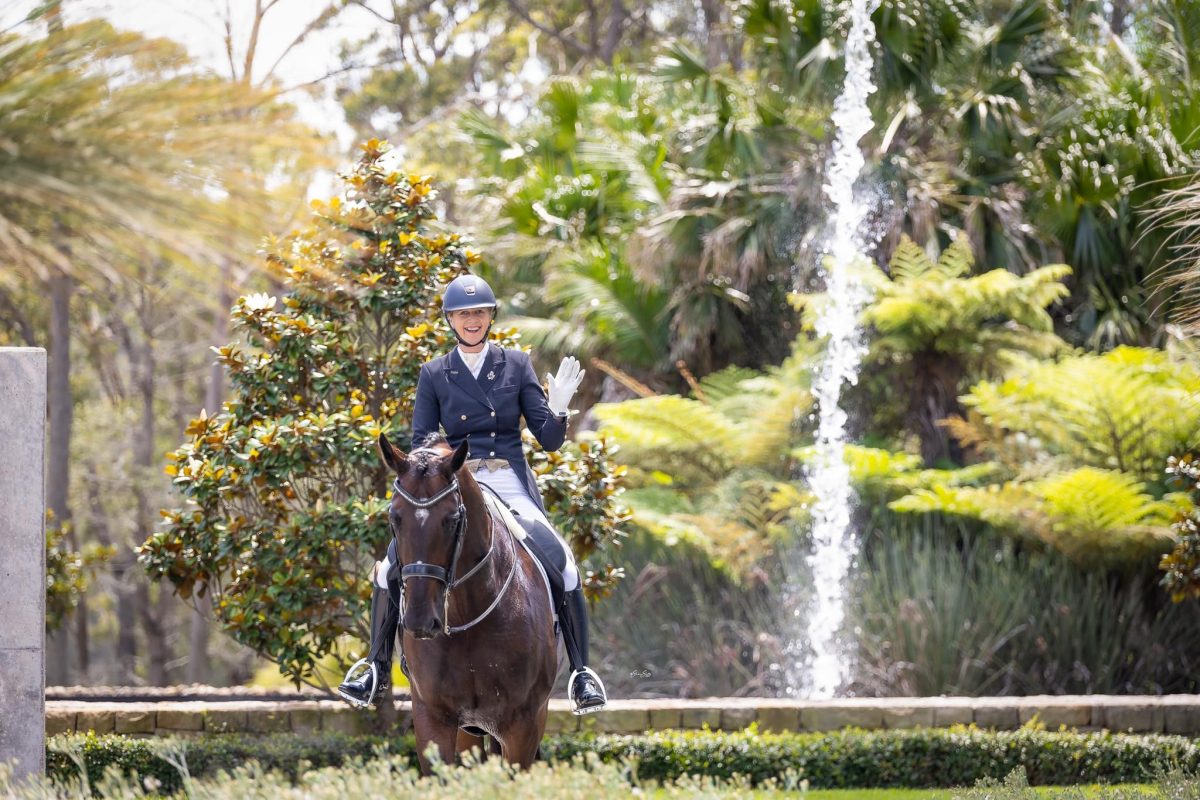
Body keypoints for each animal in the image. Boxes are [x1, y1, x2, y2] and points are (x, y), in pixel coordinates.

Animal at [376, 434, 559, 772]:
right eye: (395, 517)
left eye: (451, 520)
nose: (421, 621)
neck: (468, 613)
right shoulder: (432, 717)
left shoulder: (524, 725)